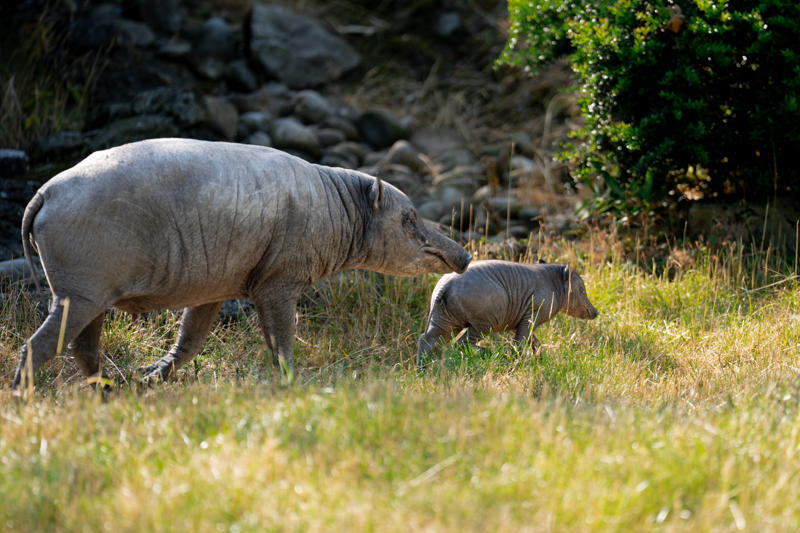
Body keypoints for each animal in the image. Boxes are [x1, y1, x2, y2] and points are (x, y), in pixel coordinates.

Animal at [13, 138, 471, 388]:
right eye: (409, 220)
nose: (464, 257)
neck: (340, 208)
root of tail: (45, 193)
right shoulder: (278, 283)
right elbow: (281, 340)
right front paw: (290, 383)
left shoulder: (213, 290)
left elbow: (189, 341)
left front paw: (150, 376)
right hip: (80, 293)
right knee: (39, 346)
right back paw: (23, 397)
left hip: (91, 296)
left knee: (84, 347)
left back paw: (108, 391)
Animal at [417, 259, 597, 365]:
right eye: (582, 289)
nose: (595, 313)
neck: (555, 285)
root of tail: (445, 286)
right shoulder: (530, 317)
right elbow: (520, 342)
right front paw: (514, 361)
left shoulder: (519, 322)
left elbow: (534, 342)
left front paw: (542, 360)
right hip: (484, 323)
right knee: (461, 343)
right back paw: (487, 353)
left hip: (444, 322)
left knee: (426, 340)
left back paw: (422, 369)